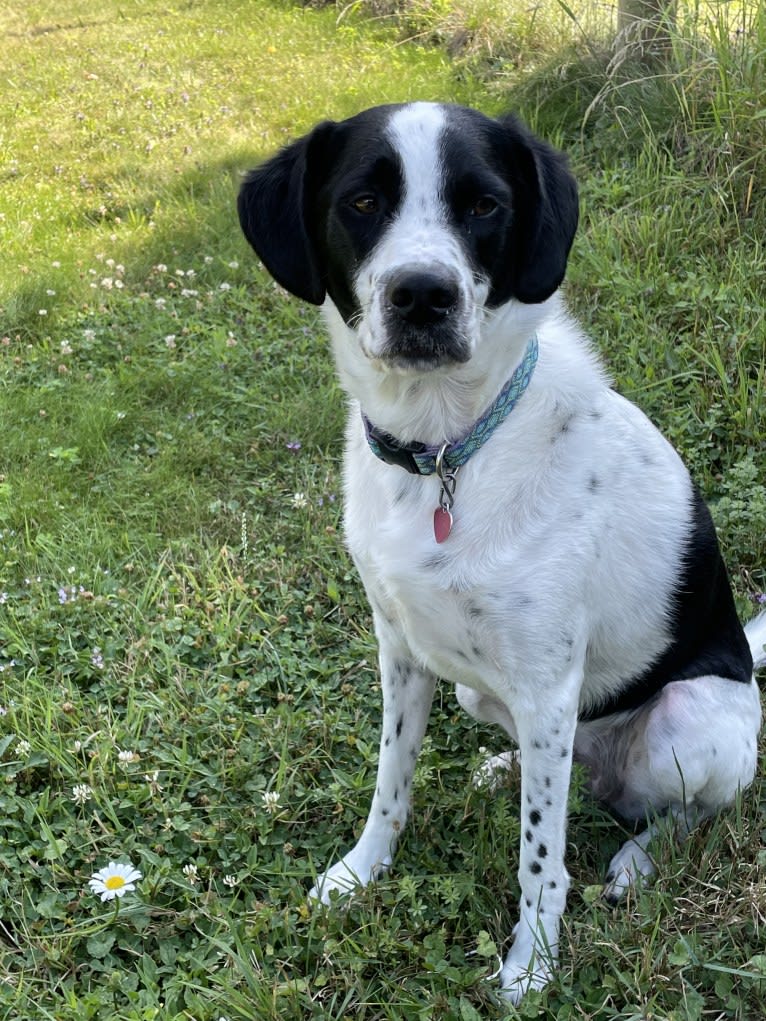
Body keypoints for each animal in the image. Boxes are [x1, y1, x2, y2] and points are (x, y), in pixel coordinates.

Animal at [236, 105, 763, 1004]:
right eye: (363, 200)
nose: (423, 295)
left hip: (689, 721)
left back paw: (634, 860)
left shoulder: (550, 687)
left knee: (676, 815)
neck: (446, 448)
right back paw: (501, 769)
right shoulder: (401, 650)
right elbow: (390, 784)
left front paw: (533, 963)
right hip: (487, 697)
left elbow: (540, 857)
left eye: (484, 205)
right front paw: (359, 872)